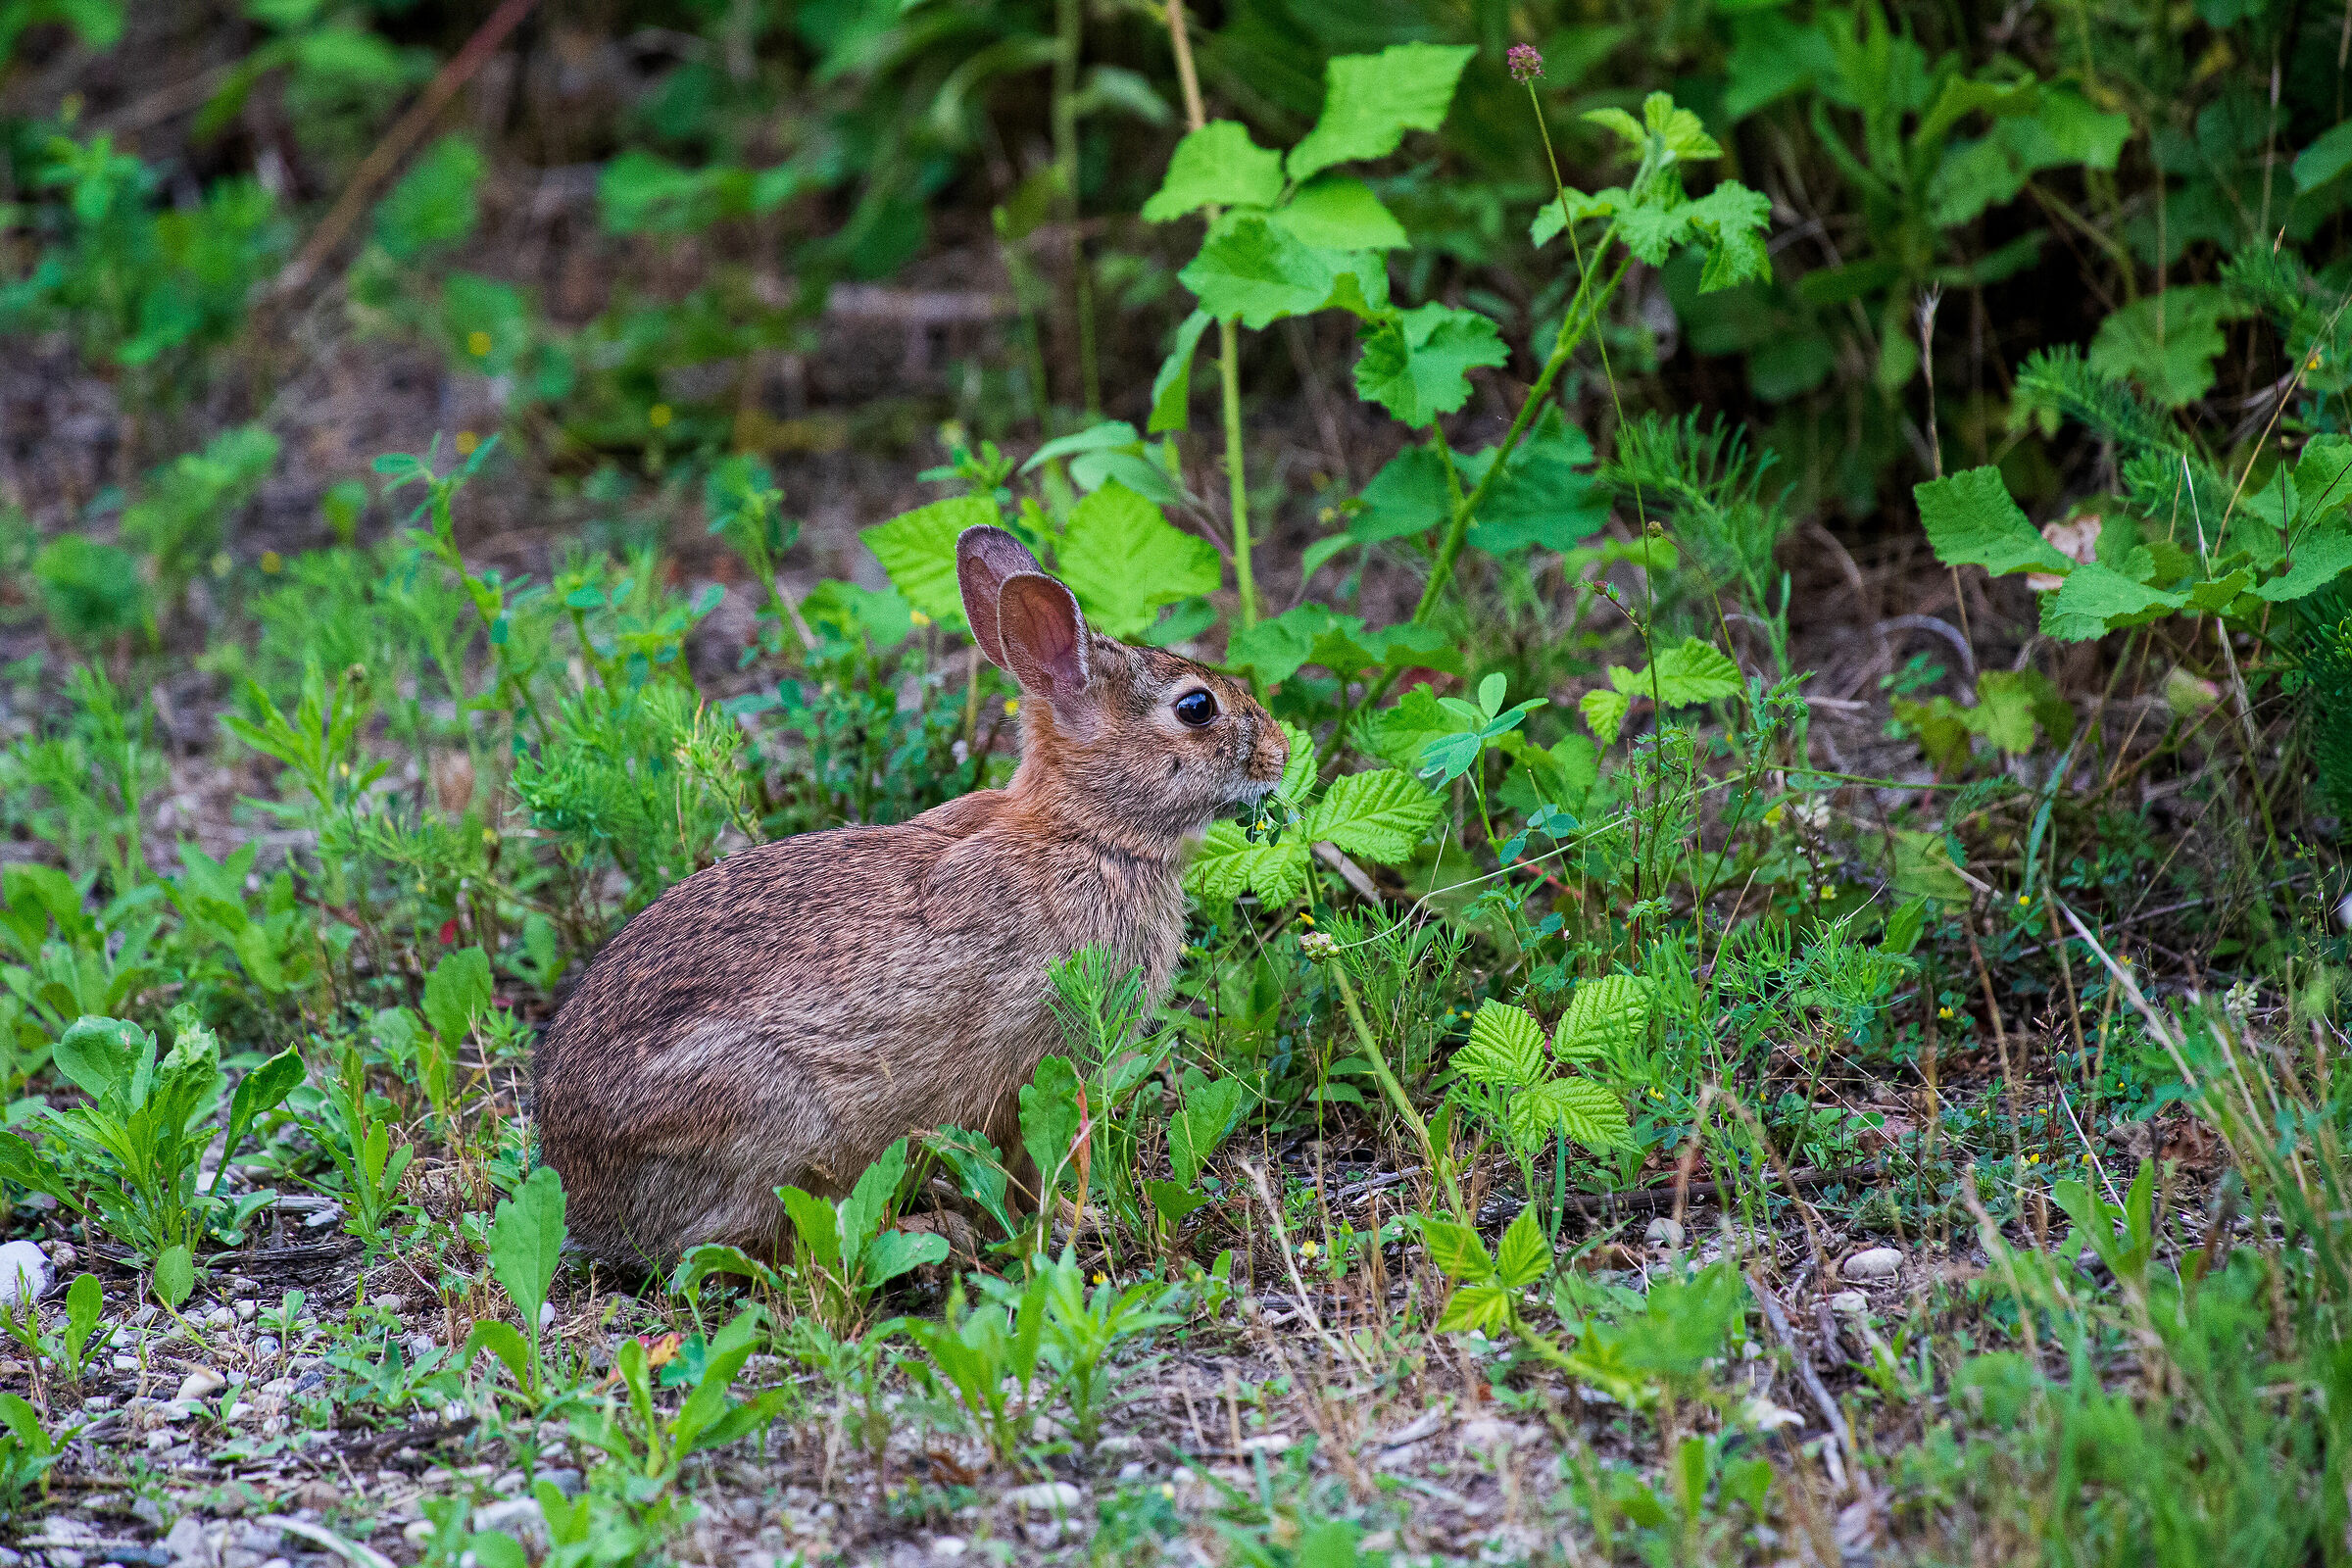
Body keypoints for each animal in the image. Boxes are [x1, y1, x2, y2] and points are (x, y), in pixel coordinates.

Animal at [531, 524, 1288, 1270]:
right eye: (1197, 708)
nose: (1280, 753)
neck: (1085, 832)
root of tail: (586, 1194)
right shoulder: (1025, 1067)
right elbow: (1025, 1166)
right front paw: (1062, 1228)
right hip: (771, 1122)